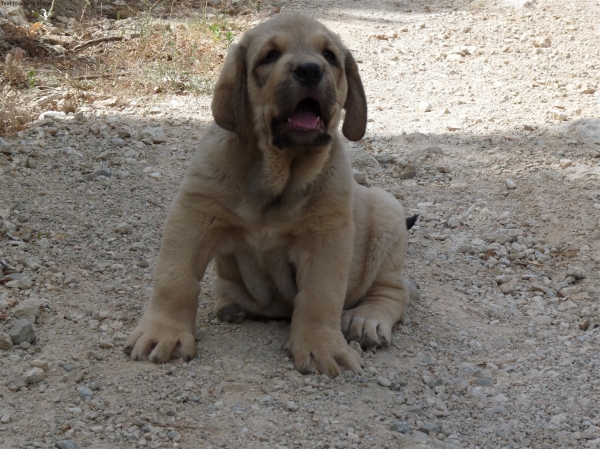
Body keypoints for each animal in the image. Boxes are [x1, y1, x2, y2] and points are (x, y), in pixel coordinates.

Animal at [123, 14, 412, 376]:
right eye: (270, 56)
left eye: (329, 56)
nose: (310, 70)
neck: (278, 174)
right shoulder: (193, 216)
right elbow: (174, 278)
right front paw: (163, 333)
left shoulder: (327, 236)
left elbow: (321, 295)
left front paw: (321, 346)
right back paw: (233, 305)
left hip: (388, 211)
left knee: (393, 291)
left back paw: (366, 321)